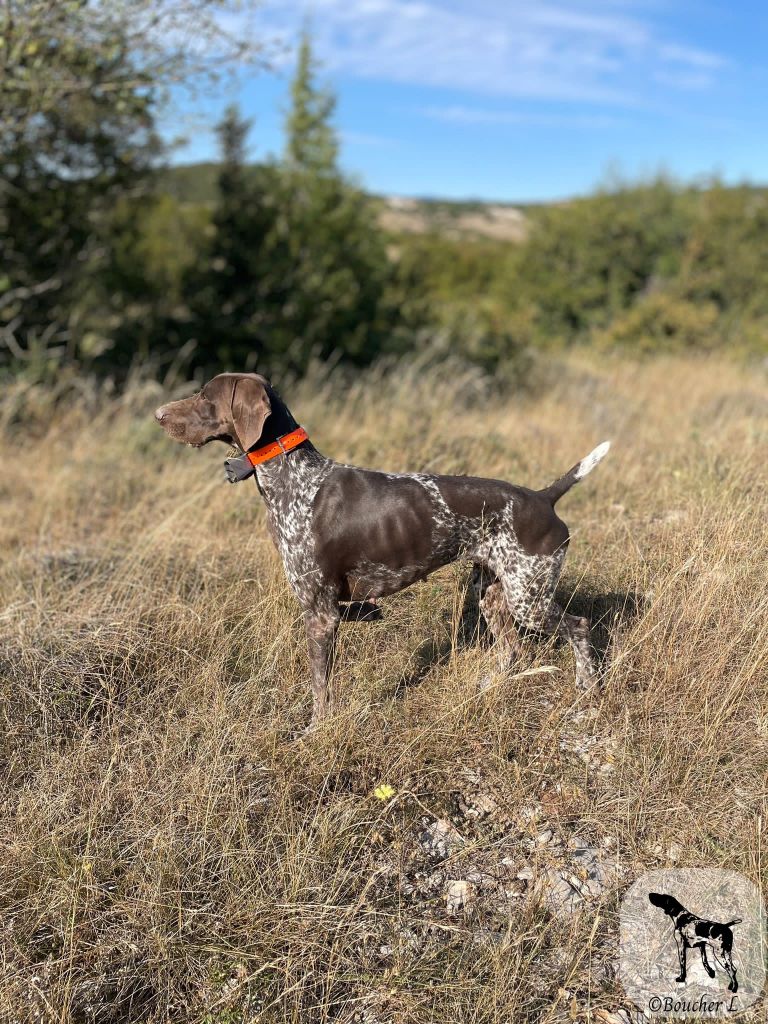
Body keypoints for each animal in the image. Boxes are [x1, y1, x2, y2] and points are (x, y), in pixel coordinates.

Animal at [156, 372, 614, 724]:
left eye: (205, 396)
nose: (158, 415)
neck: (293, 479)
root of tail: (542, 498)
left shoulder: (320, 614)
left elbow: (320, 688)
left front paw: (315, 733)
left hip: (528, 598)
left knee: (578, 626)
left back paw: (588, 690)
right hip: (493, 592)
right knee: (513, 649)